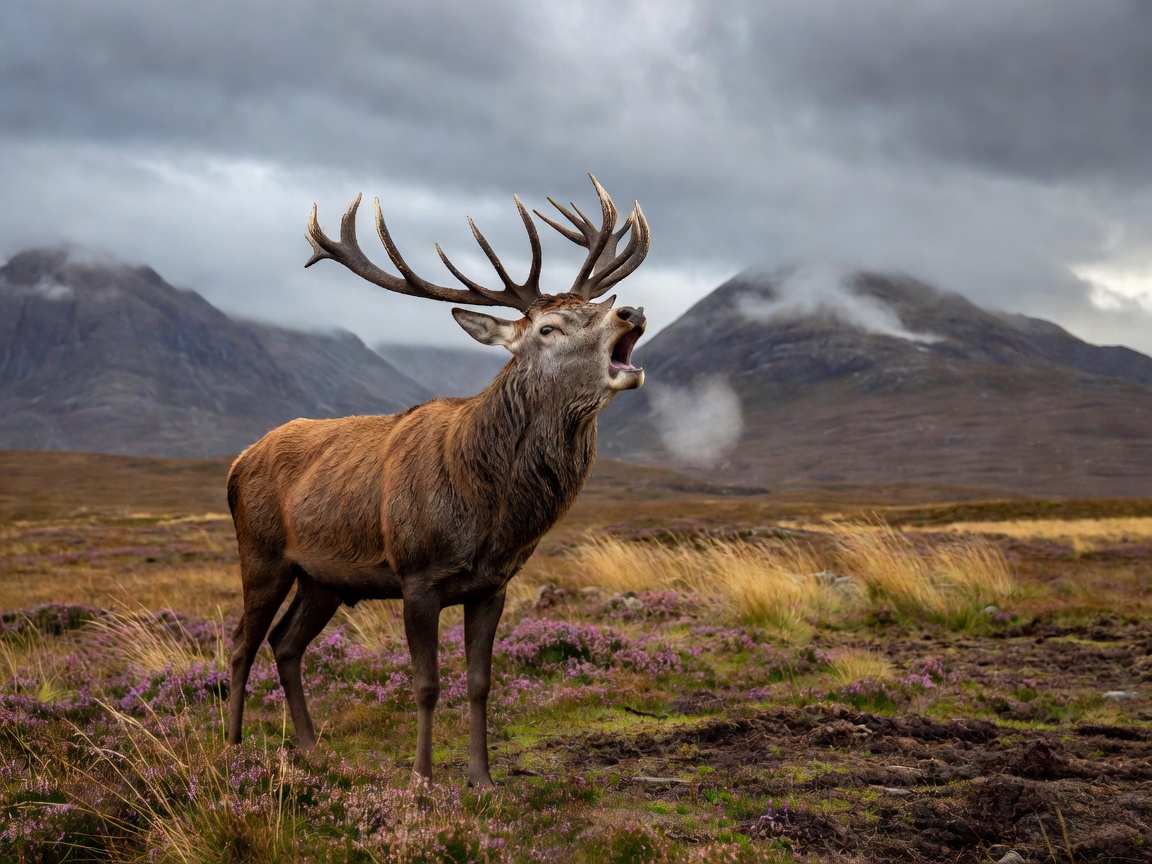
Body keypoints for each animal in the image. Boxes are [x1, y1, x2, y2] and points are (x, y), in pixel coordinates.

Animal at [226, 175, 650, 787]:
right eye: (548, 328)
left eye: (597, 305)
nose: (631, 312)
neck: (489, 512)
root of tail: (236, 463)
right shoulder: (416, 574)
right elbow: (426, 685)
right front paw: (423, 780)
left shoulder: (493, 585)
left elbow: (480, 684)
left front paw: (483, 780)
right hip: (261, 554)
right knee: (242, 643)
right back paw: (233, 748)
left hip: (321, 579)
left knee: (285, 645)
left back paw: (311, 748)